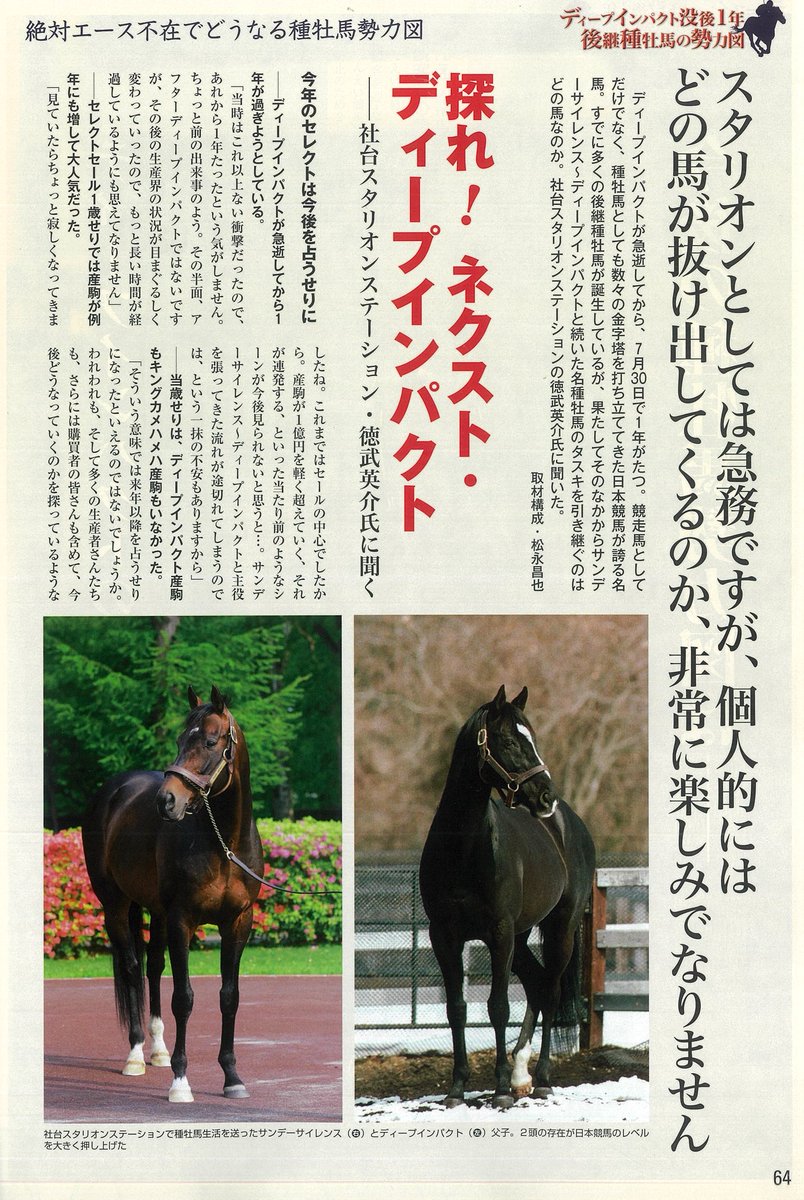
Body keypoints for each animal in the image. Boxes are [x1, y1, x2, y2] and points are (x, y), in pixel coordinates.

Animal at [81, 685, 264, 1103]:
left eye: (211, 741)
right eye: (181, 740)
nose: (167, 801)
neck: (224, 843)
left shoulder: (237, 922)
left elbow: (229, 997)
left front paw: (232, 1077)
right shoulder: (183, 919)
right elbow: (184, 998)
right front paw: (181, 1081)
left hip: (157, 912)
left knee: (152, 967)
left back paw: (159, 1052)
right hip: (116, 905)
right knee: (132, 968)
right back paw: (136, 1055)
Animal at [419, 685, 596, 1108]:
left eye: (532, 738)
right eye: (510, 741)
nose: (546, 795)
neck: (463, 849)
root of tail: (570, 823)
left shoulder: (498, 933)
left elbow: (498, 1006)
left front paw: (499, 1090)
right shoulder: (443, 935)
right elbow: (456, 1007)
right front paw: (457, 1089)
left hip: (559, 929)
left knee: (550, 992)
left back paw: (540, 1078)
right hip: (521, 936)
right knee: (536, 984)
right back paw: (520, 1075)